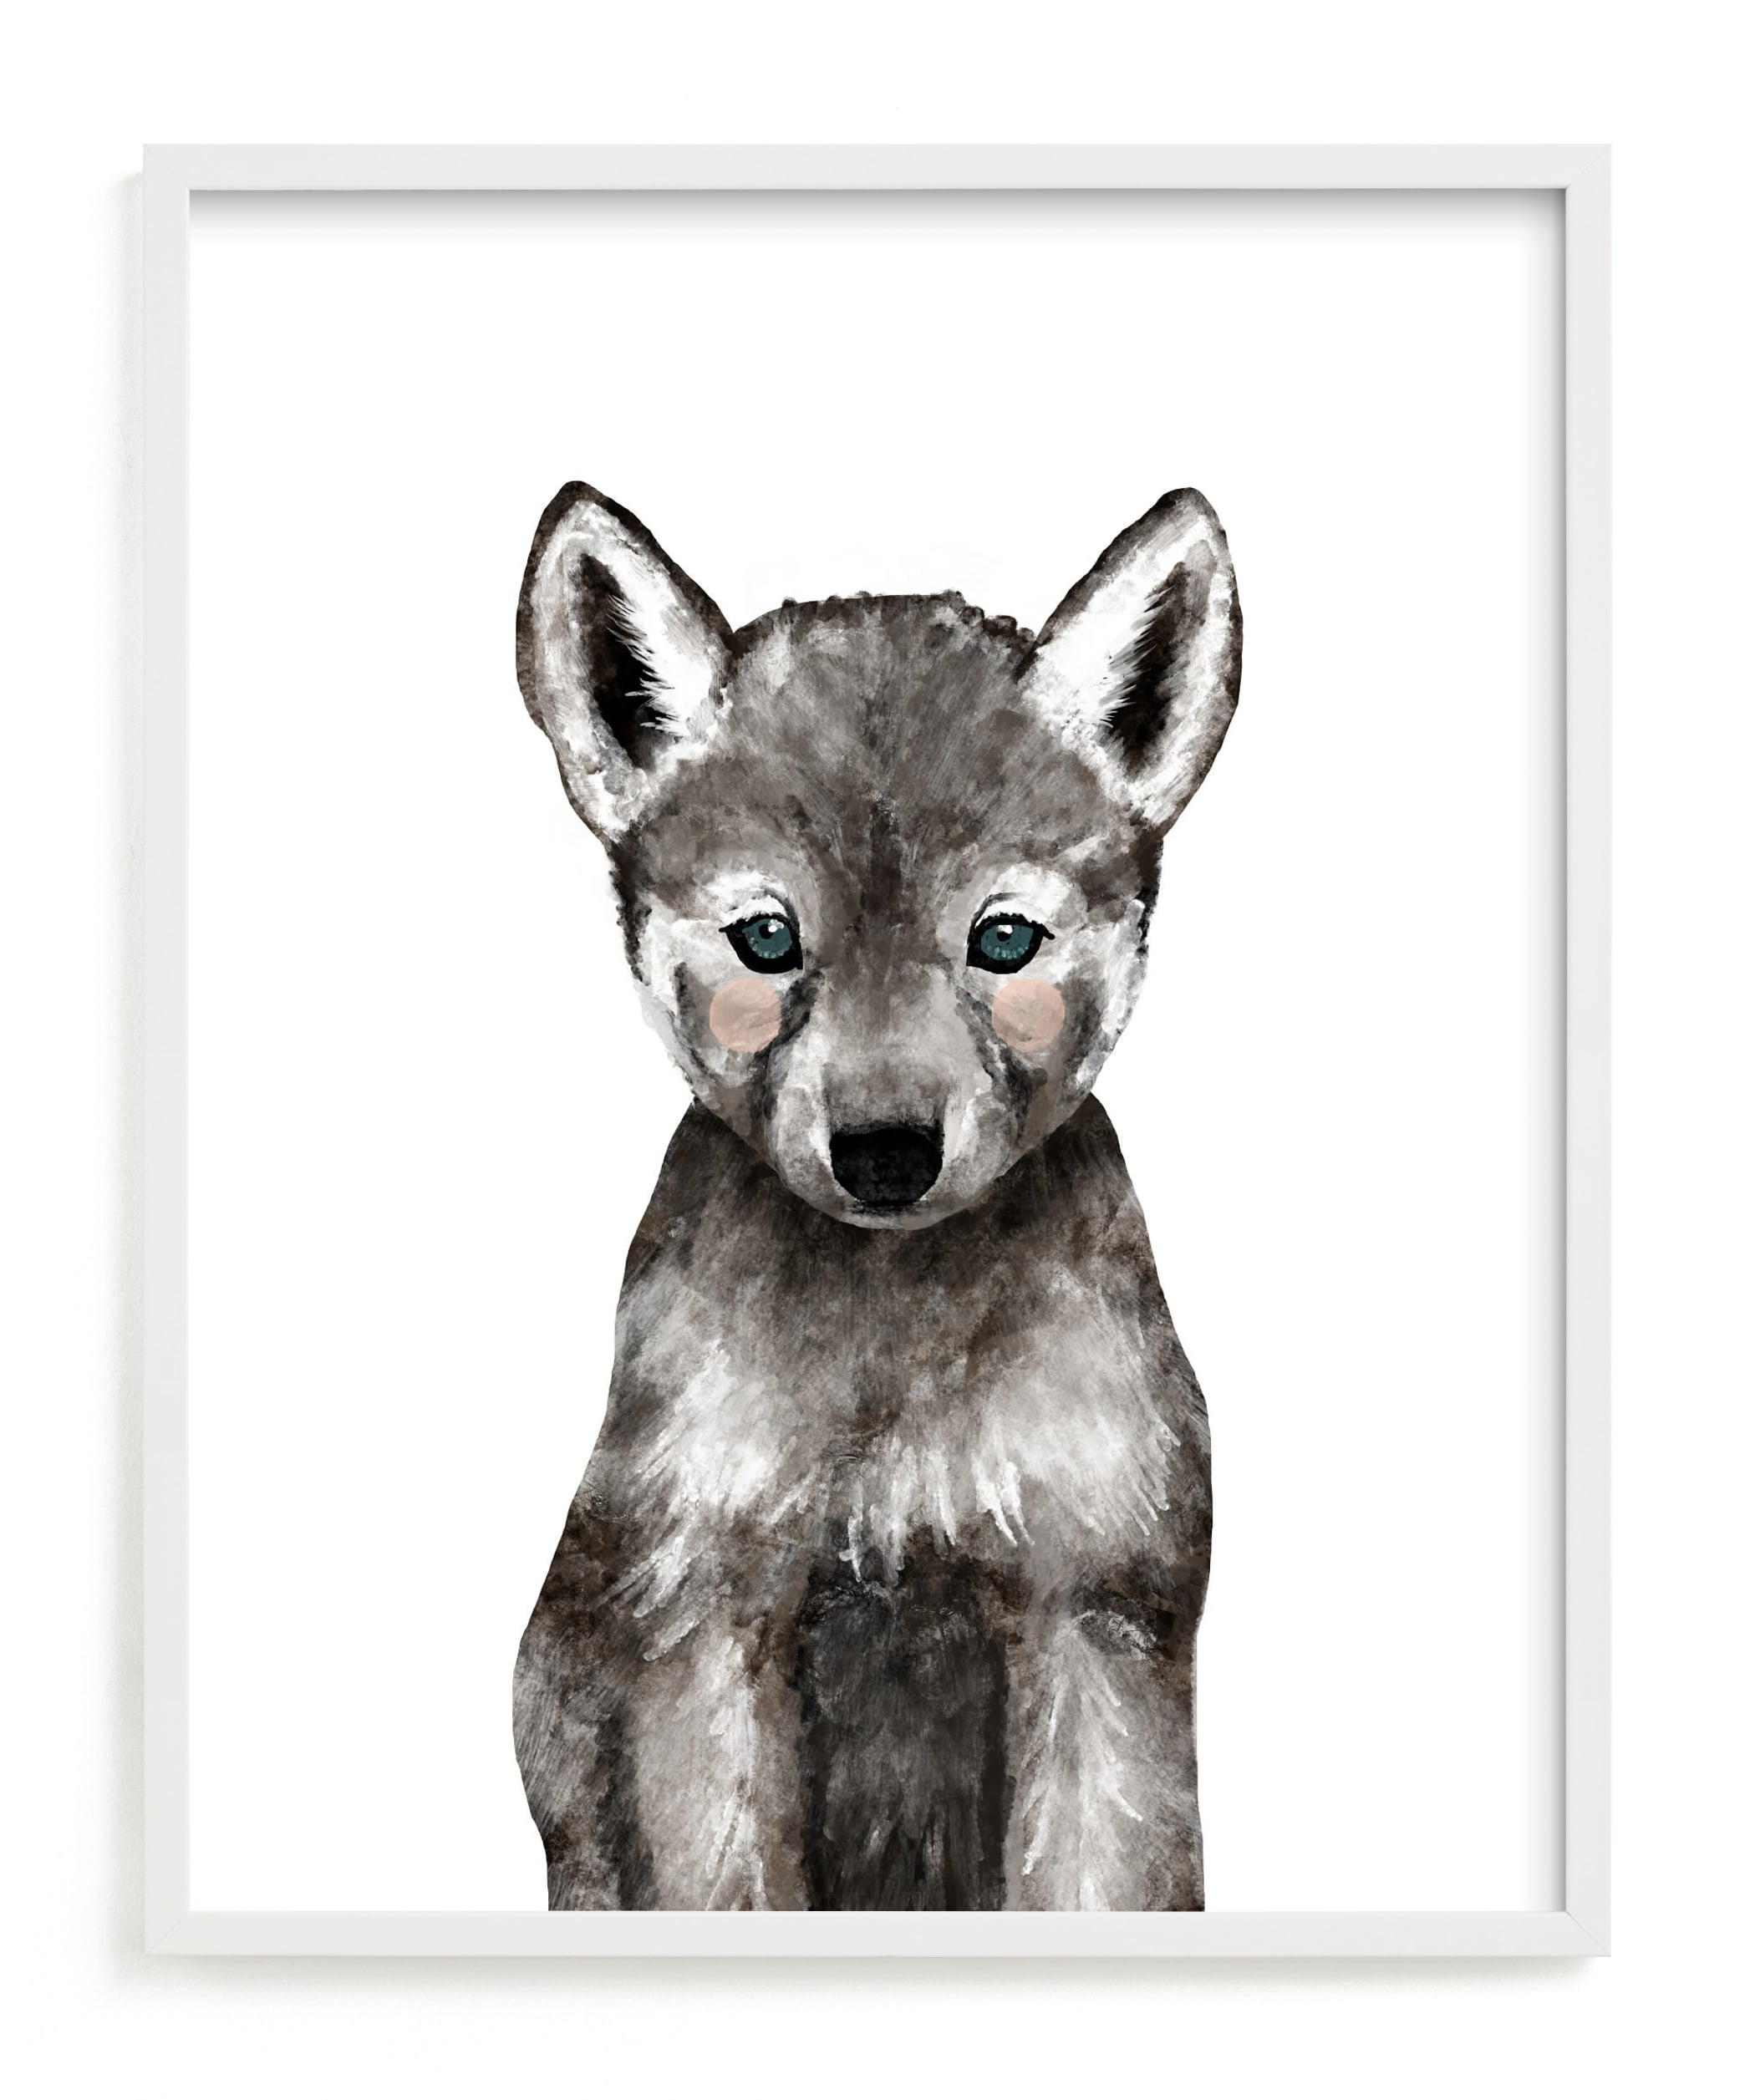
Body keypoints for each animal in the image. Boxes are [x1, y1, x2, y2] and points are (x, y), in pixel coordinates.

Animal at [511, 481, 1242, 1911]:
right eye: (768, 937)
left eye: (1004, 938)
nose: (887, 1152)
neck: (892, 1364)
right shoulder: (704, 1620)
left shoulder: (1095, 1616)